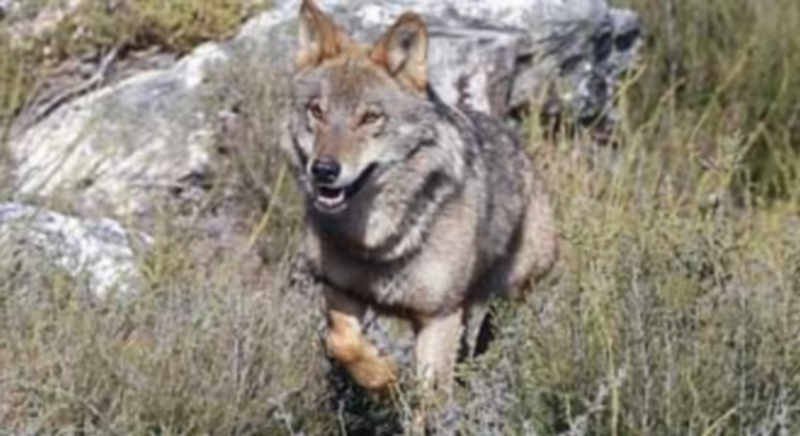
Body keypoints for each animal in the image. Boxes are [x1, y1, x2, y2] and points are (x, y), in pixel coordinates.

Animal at [280, 0, 558, 402]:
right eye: (317, 111)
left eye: (370, 117)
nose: (324, 170)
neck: (375, 244)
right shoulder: (339, 290)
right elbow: (342, 343)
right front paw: (383, 378)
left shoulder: (437, 318)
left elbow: (429, 401)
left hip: (509, 292)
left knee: (488, 334)